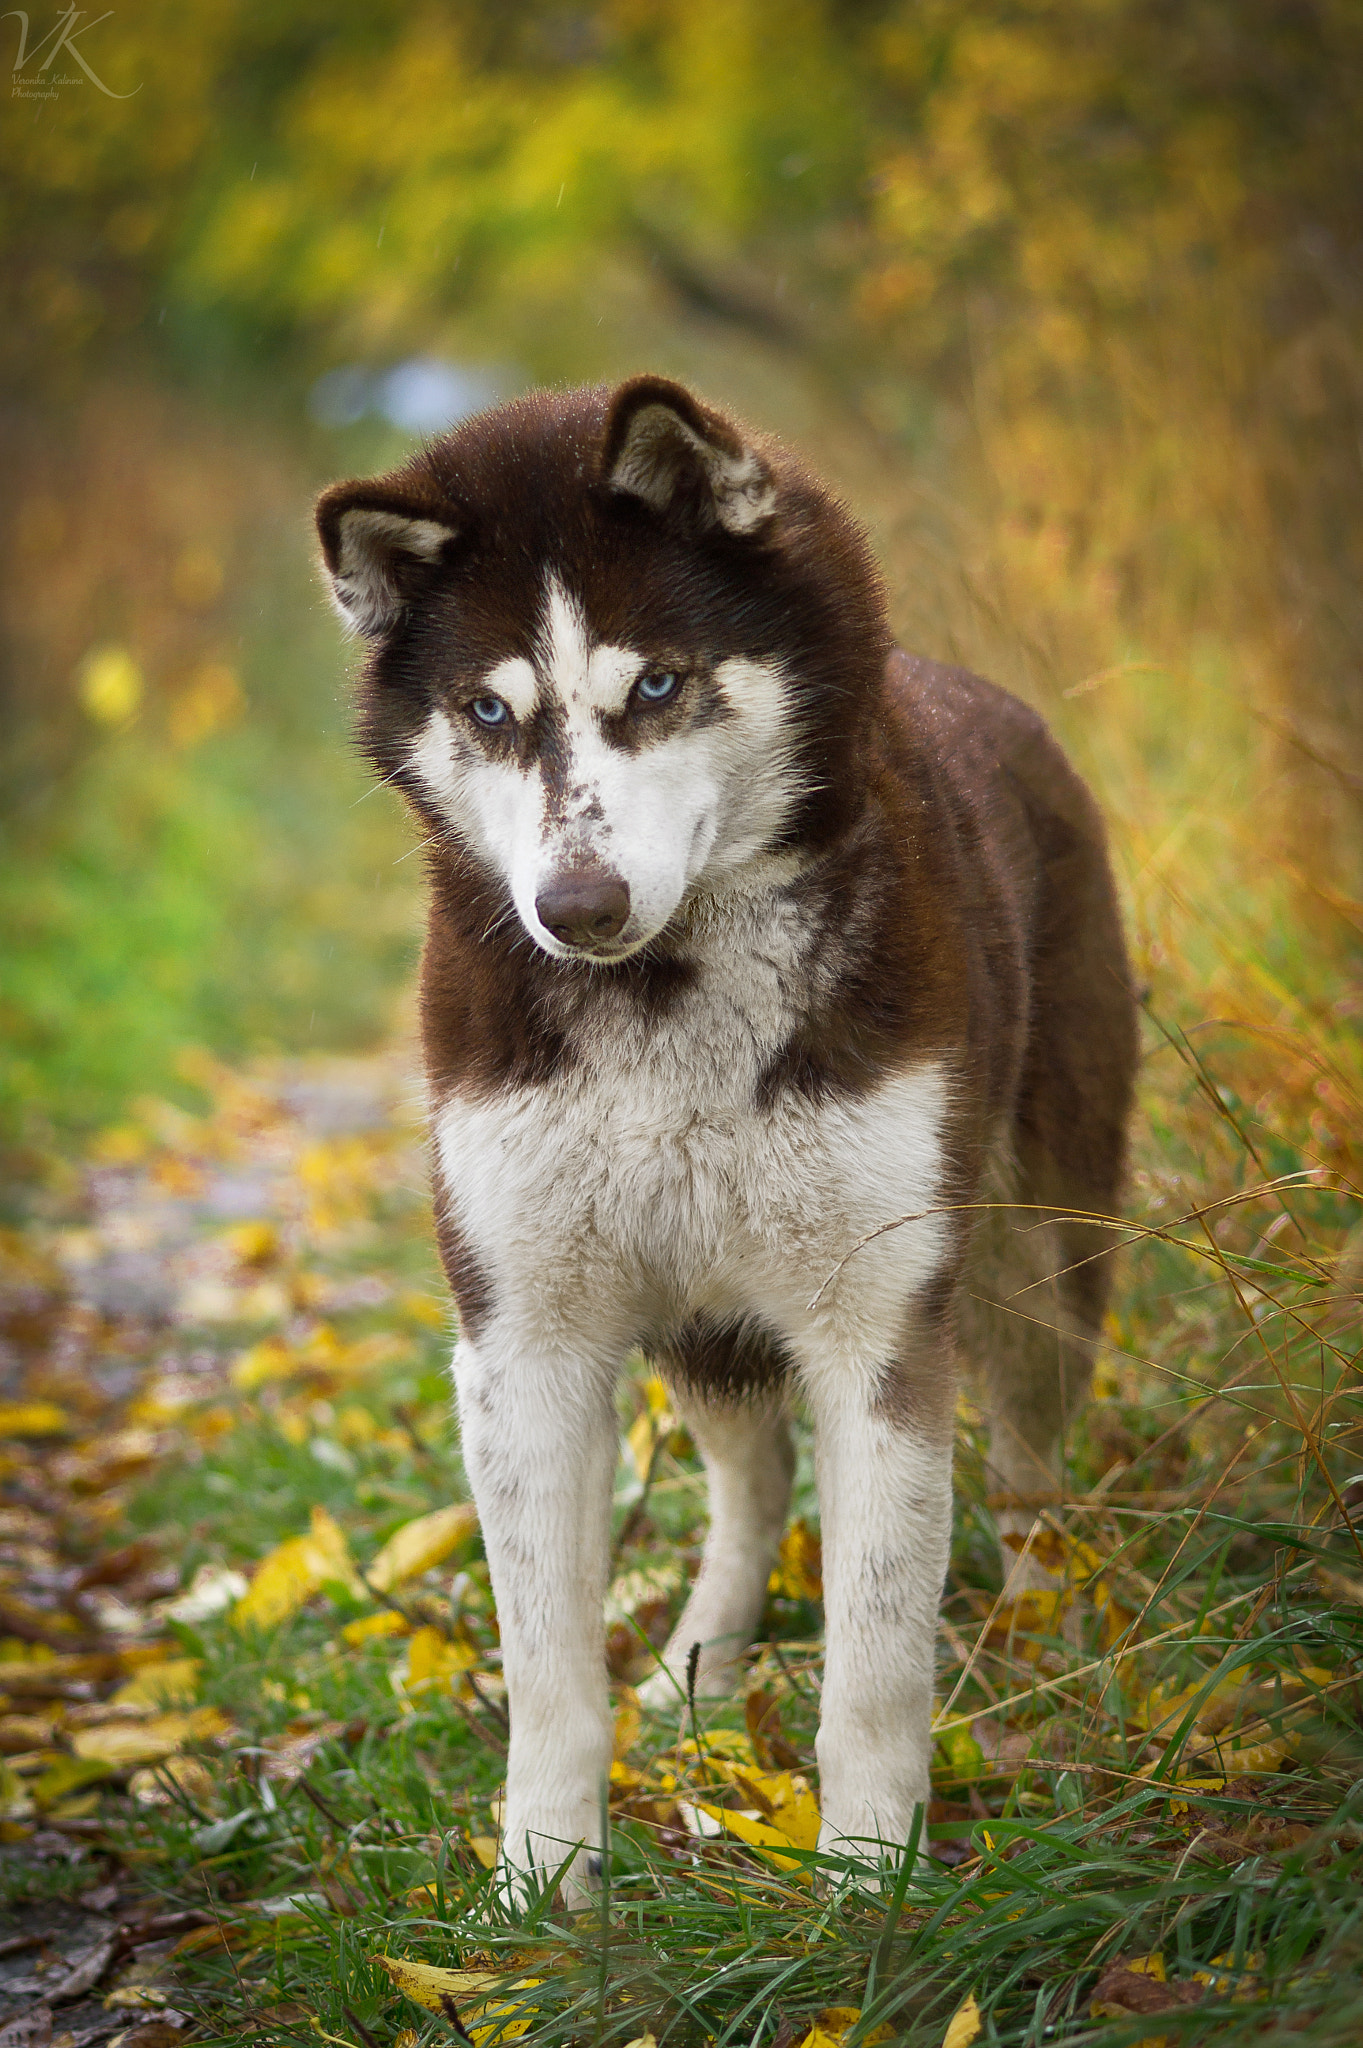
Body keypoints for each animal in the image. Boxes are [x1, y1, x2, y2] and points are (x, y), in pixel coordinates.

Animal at [313, 380, 1129, 1900]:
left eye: (654, 685)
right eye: (489, 708)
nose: (574, 905)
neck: (664, 1012)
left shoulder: (879, 1324)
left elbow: (874, 1655)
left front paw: (868, 1878)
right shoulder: (522, 1339)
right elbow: (549, 1672)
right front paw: (540, 1893)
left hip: (1040, 1252)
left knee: (1032, 1458)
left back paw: (1044, 1620)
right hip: (703, 1314)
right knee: (753, 1483)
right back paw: (703, 1659)